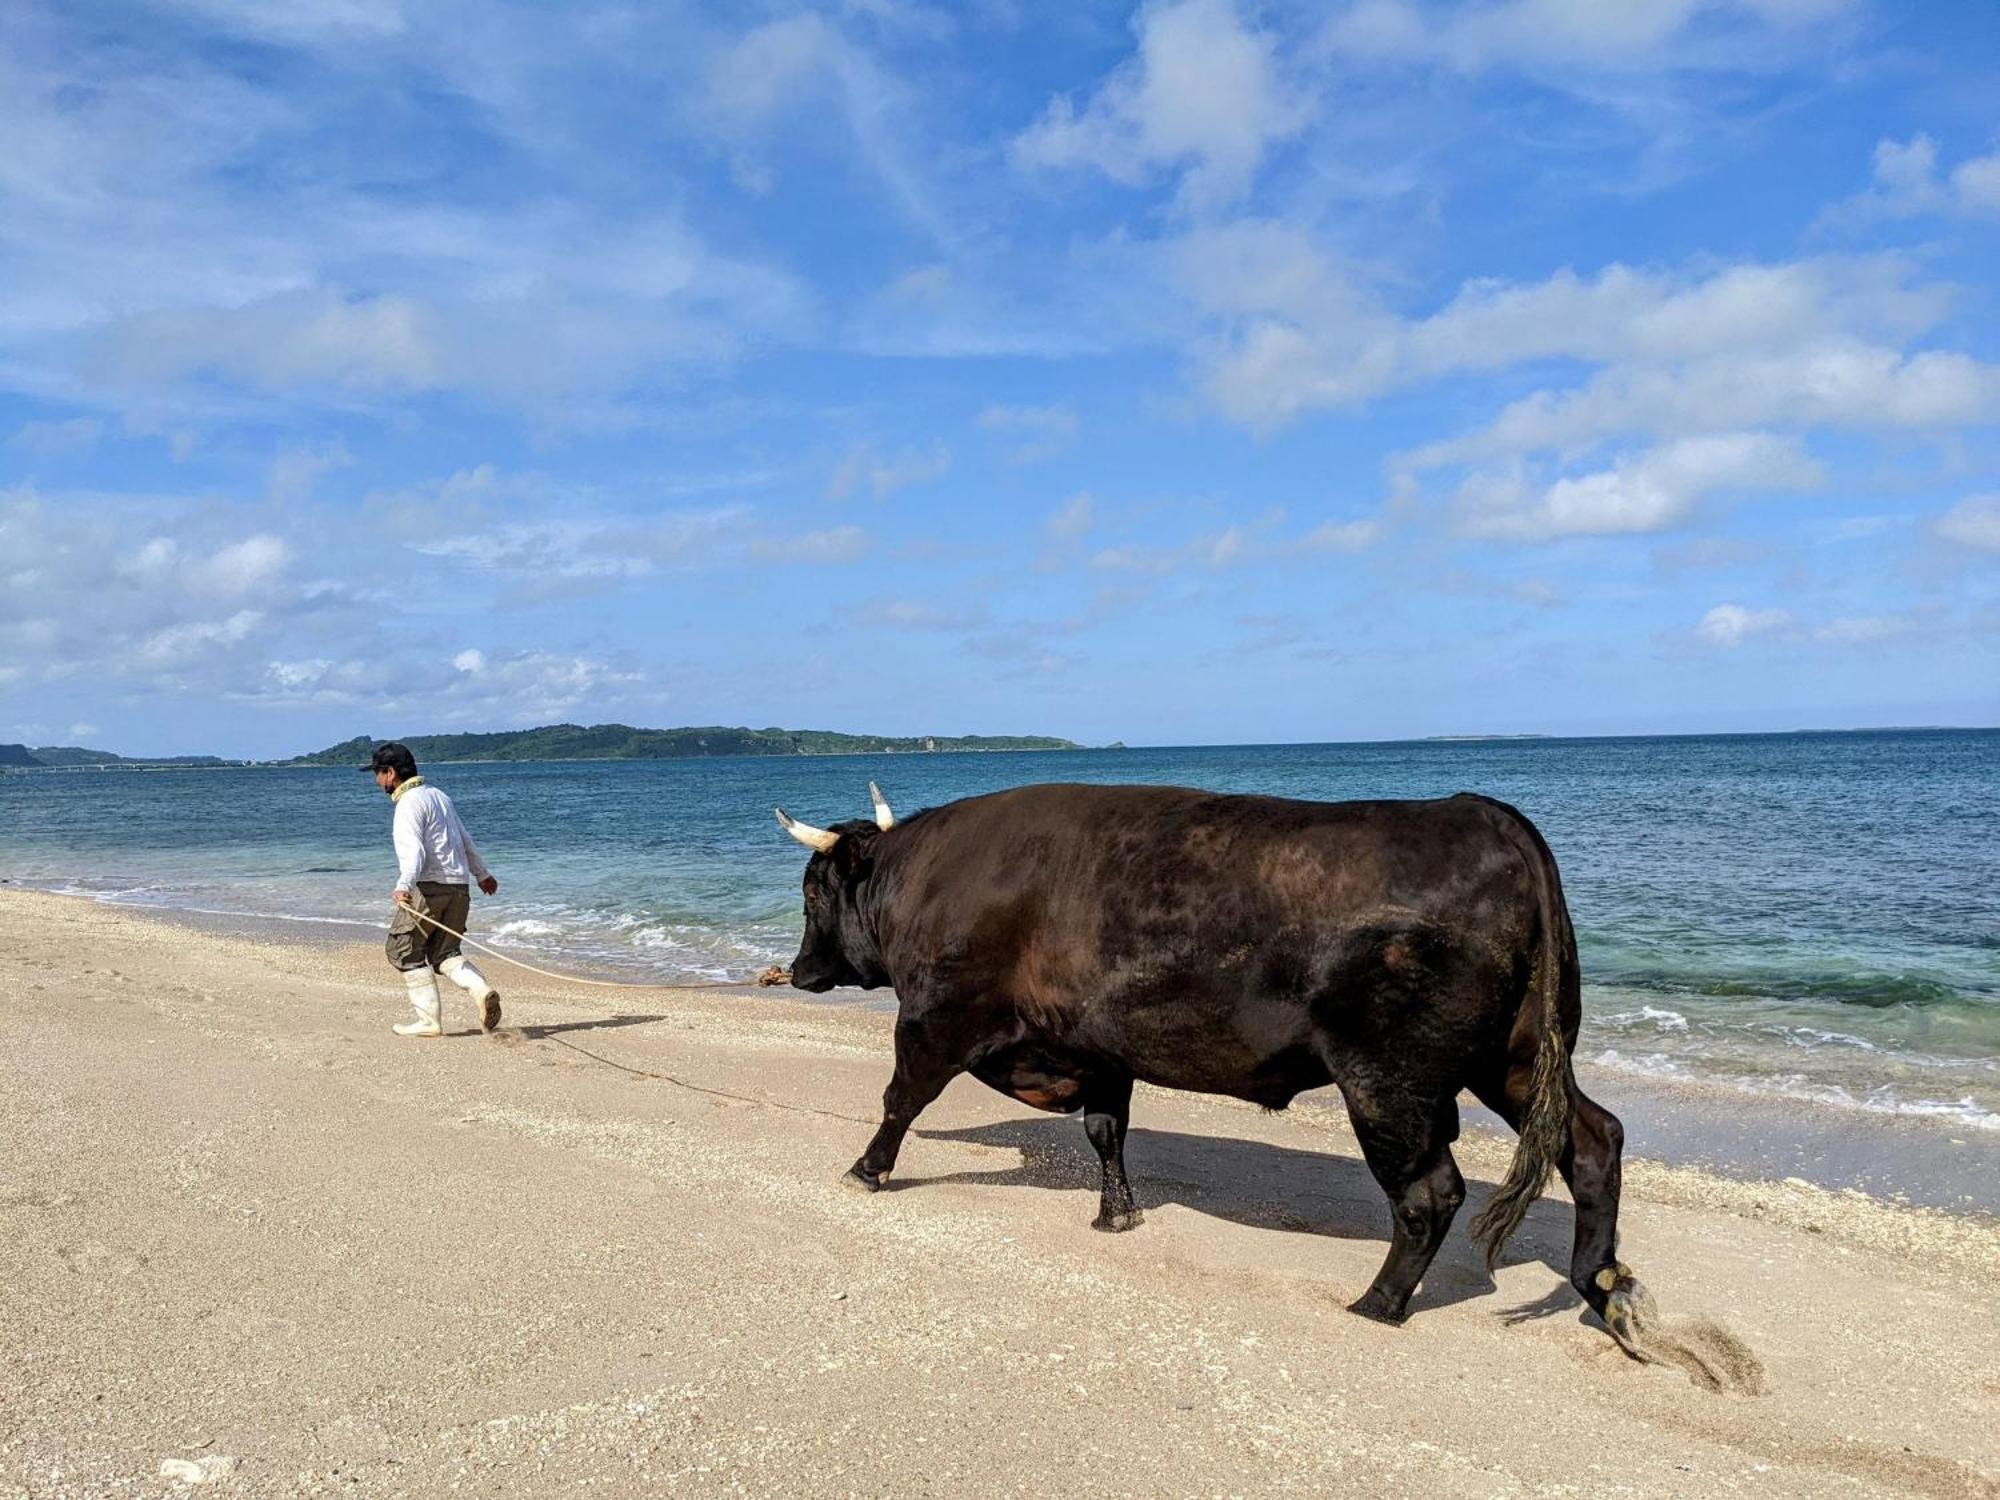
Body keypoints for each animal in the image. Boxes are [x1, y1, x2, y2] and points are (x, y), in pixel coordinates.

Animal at [776, 780, 1640, 1344]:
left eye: (814, 892)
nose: (800, 969)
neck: (923, 878)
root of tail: (1479, 811)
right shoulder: (1099, 1045)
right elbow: (1106, 1130)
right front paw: (1116, 1213)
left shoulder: (935, 1017)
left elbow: (901, 1097)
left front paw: (866, 1169)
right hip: (1517, 1062)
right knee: (1594, 1141)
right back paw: (1606, 1290)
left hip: (1391, 1083)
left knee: (1431, 1192)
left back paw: (1379, 1302)